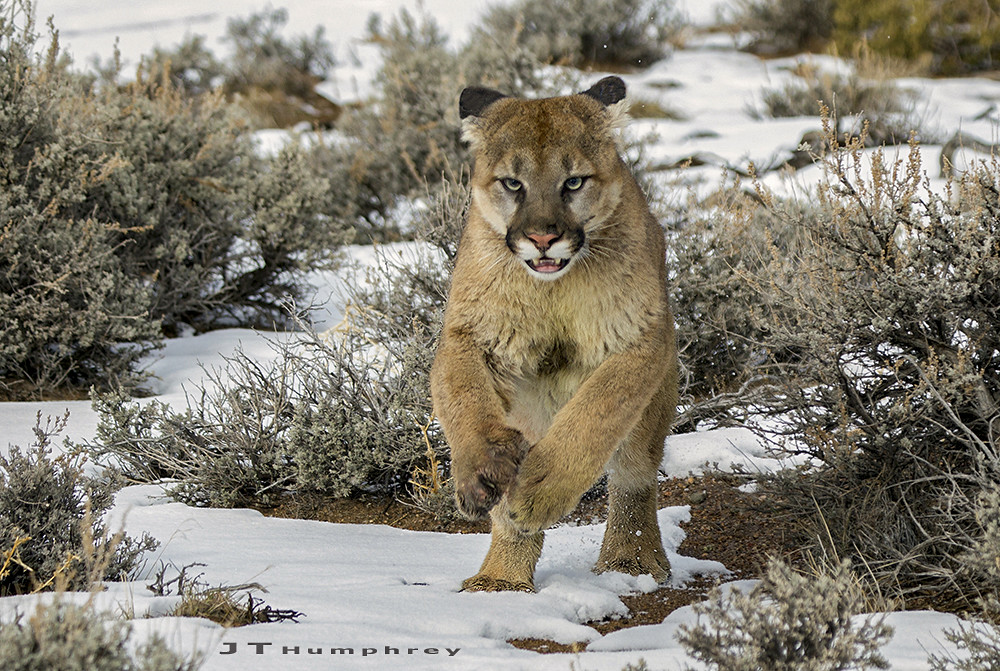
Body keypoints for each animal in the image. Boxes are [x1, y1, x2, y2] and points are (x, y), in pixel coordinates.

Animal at [430, 76, 679, 593]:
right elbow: (464, 398)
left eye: (573, 182)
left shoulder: (641, 340)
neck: (553, 290)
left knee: (634, 474)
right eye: (513, 183)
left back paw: (631, 558)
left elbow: (595, 414)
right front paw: (482, 473)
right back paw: (500, 579)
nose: (543, 238)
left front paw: (540, 491)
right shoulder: (468, 336)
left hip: (655, 402)